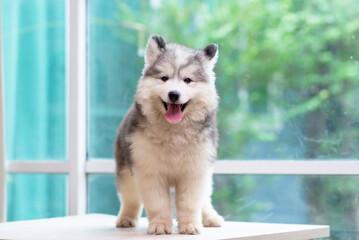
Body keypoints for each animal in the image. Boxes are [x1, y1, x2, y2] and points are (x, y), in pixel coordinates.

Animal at [115, 35, 224, 234]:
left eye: (187, 80)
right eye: (164, 78)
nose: (174, 94)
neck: (174, 131)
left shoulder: (195, 170)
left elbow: (190, 203)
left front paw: (190, 225)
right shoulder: (149, 171)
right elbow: (158, 203)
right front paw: (159, 226)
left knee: (205, 198)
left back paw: (210, 217)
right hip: (125, 169)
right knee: (130, 198)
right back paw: (126, 218)